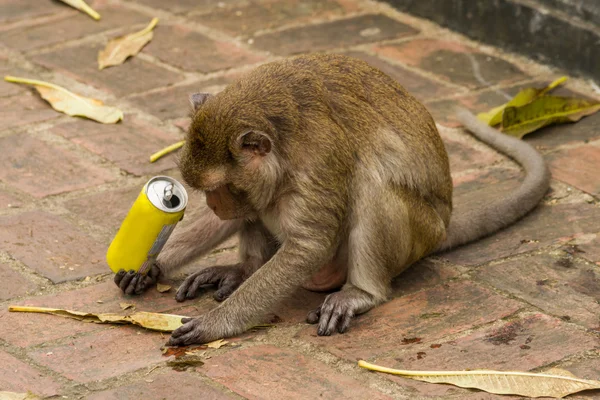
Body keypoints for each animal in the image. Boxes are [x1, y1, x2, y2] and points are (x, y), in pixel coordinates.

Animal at [115, 53, 552, 346]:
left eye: (219, 188)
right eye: (207, 192)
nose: (215, 204)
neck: (284, 137)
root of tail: (443, 227)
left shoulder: (317, 161)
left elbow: (309, 245)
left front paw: (216, 323)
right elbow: (242, 217)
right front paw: (151, 265)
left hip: (420, 232)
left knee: (373, 182)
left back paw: (361, 293)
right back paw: (243, 269)